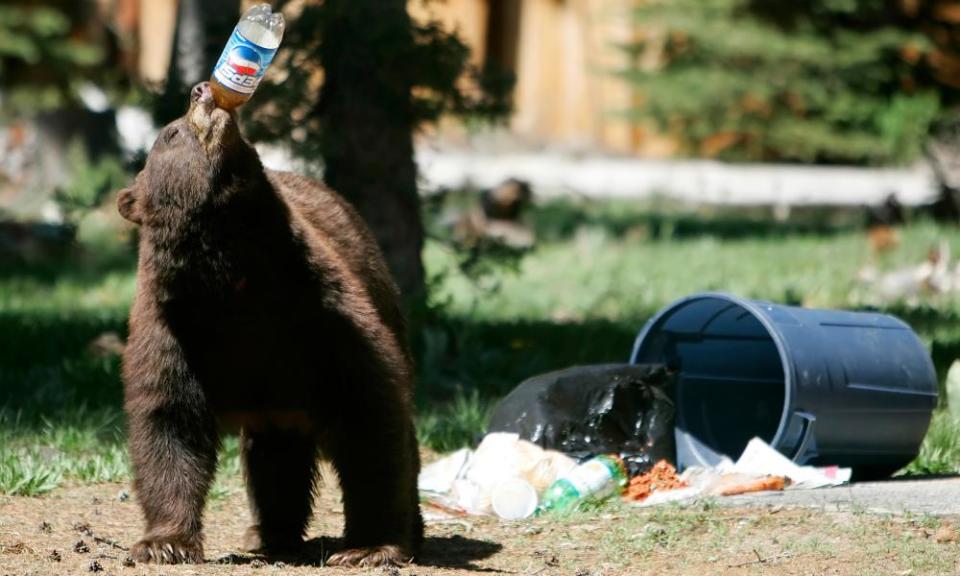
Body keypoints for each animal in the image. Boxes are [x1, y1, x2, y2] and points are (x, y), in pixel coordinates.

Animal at [115, 81, 420, 568]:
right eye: (170, 134)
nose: (200, 90)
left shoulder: (320, 313)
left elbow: (370, 414)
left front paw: (368, 547)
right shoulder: (174, 329)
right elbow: (168, 422)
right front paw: (164, 542)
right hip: (275, 403)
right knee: (274, 456)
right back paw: (269, 534)